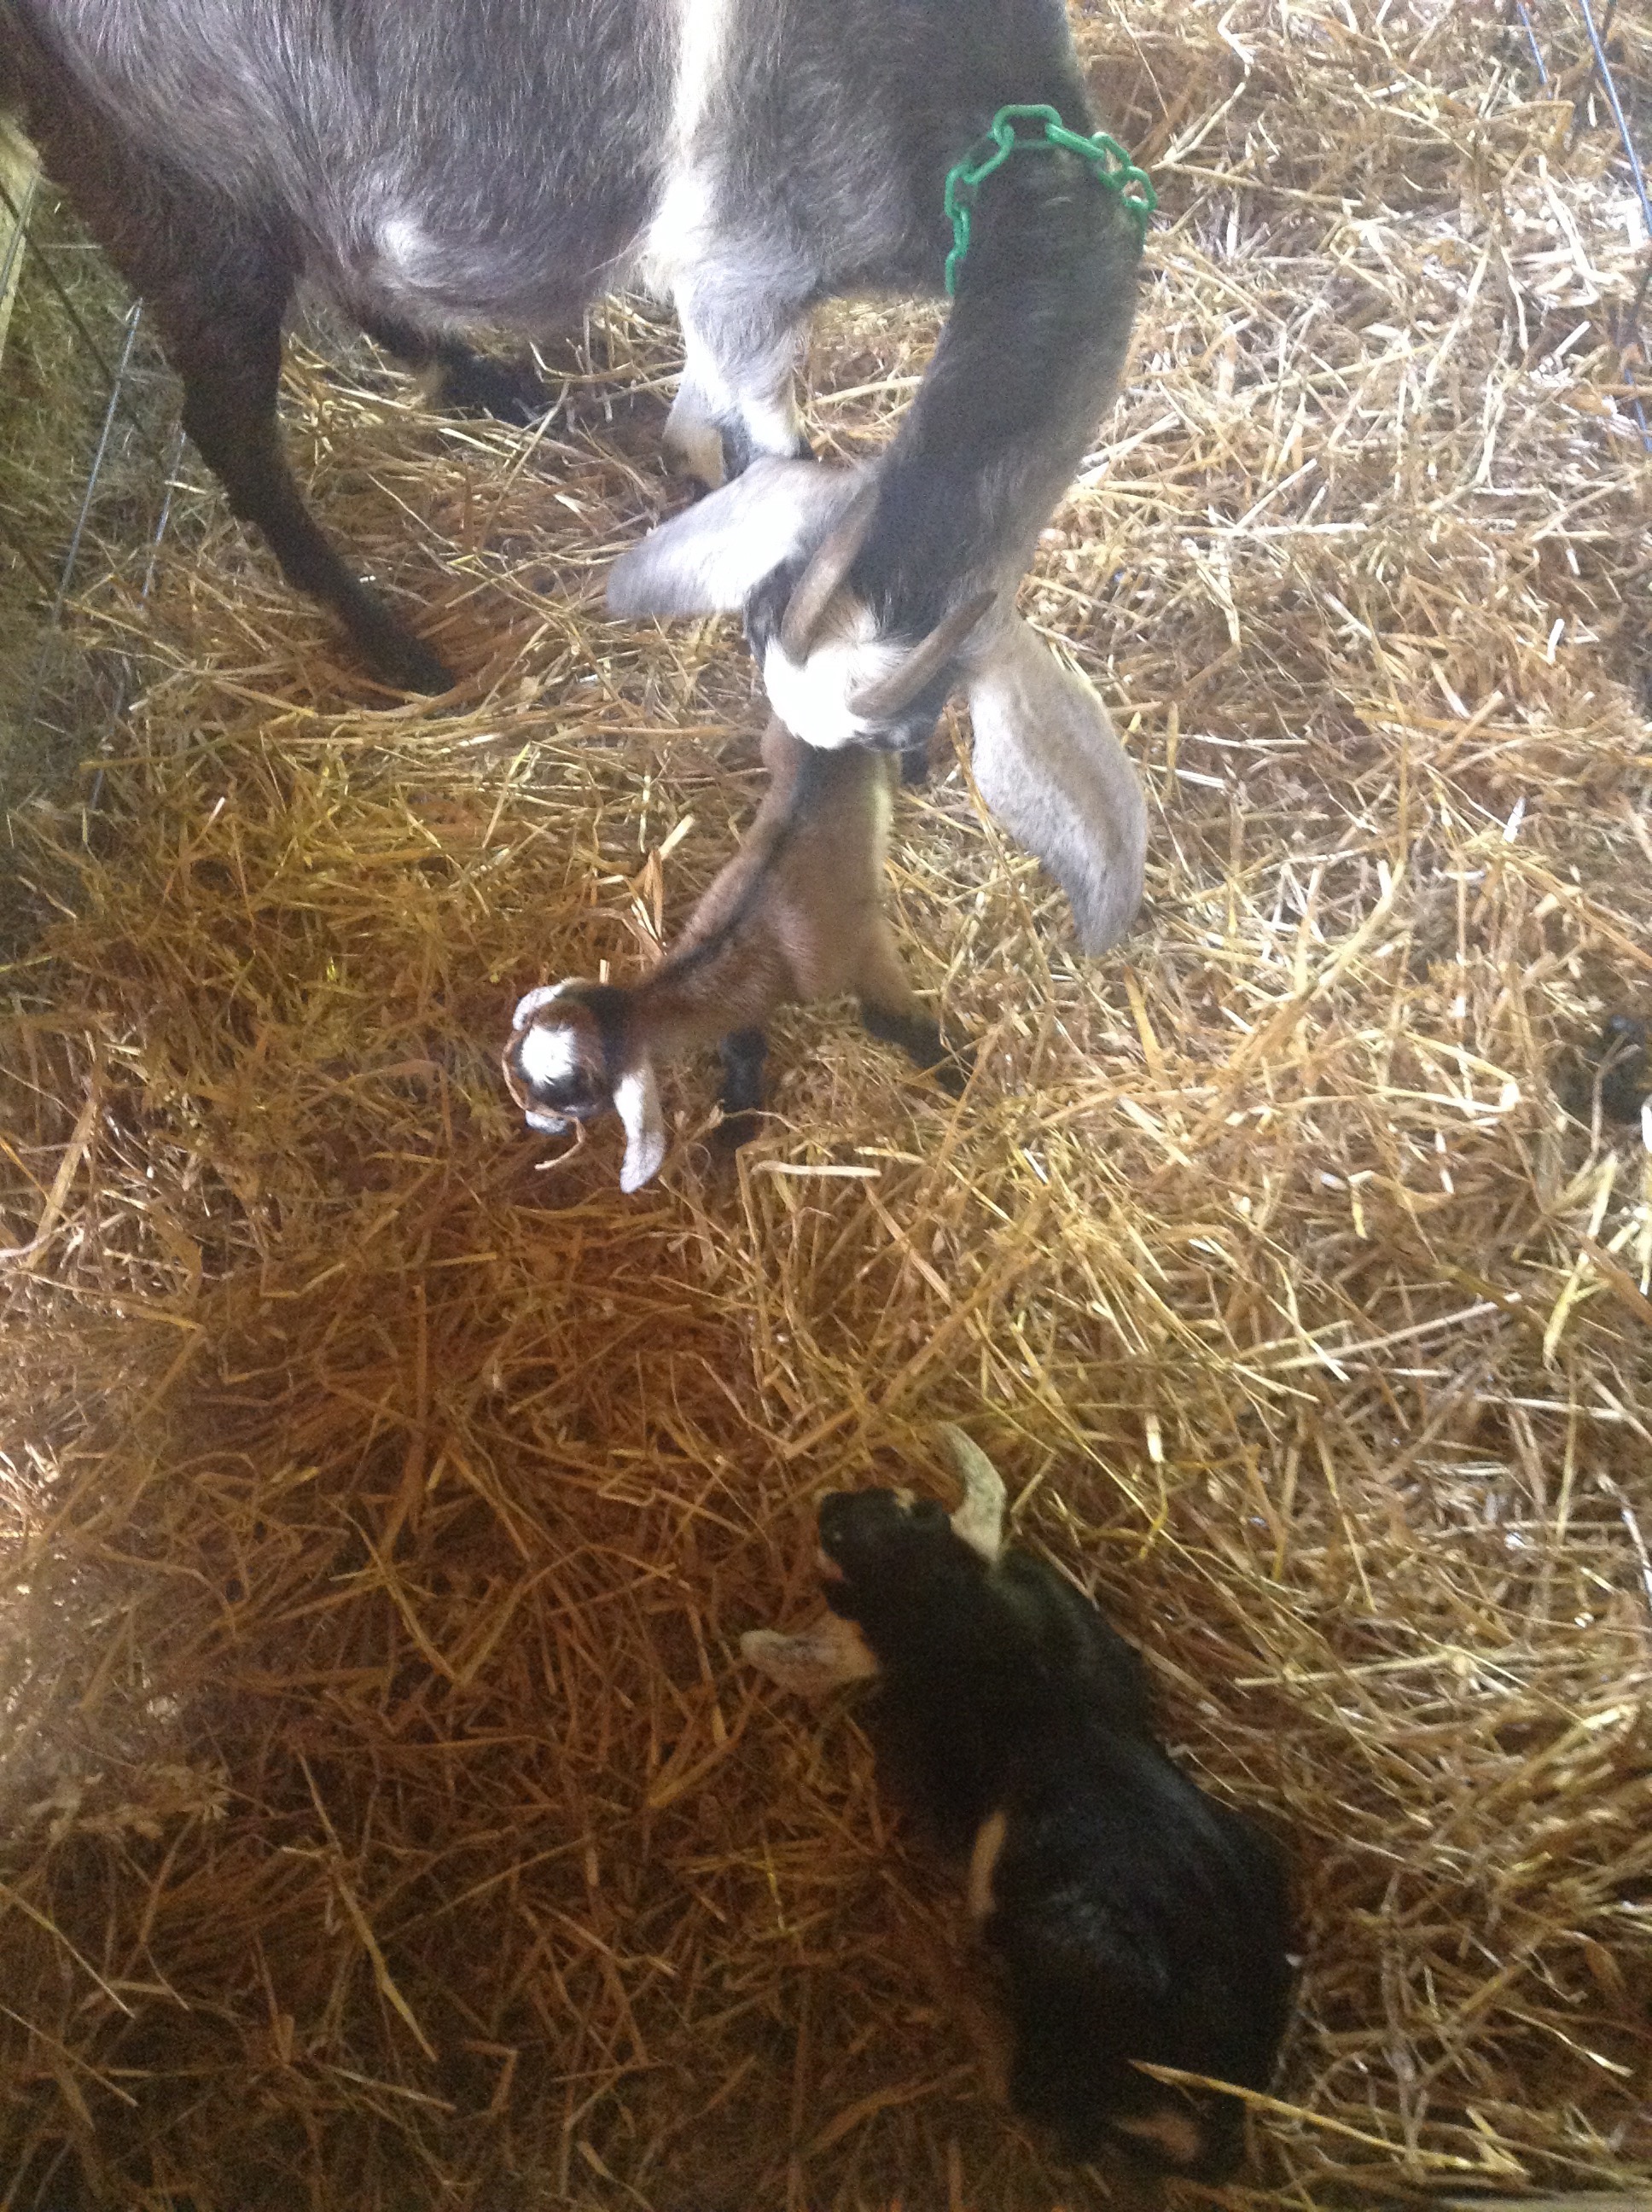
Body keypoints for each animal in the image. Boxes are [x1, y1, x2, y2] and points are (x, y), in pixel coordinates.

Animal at [0, 2, 1146, 871]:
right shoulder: (749, 261)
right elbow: (772, 450)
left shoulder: (730, 284)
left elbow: (714, 409)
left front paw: (686, 470)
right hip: (174, 197)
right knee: (228, 426)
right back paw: (396, 649)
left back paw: (483, 384)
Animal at [501, 703, 970, 1193]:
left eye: (574, 1099)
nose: (535, 1122)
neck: (759, 942)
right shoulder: (743, 999)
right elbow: (743, 1049)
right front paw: (737, 1118)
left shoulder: (858, 947)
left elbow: (893, 1018)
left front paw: (956, 1067)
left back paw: (915, 767)